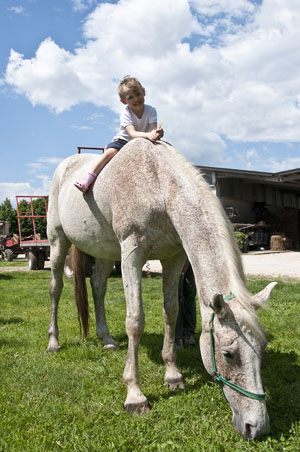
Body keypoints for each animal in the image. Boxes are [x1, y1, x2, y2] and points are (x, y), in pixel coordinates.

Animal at [47, 139, 276, 440]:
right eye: (228, 354)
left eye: (263, 348)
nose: (256, 427)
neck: (160, 187)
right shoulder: (132, 253)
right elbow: (135, 321)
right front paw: (135, 396)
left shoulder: (174, 258)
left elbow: (171, 311)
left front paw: (173, 375)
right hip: (58, 241)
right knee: (56, 288)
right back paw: (53, 342)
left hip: (105, 252)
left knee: (98, 287)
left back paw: (107, 339)